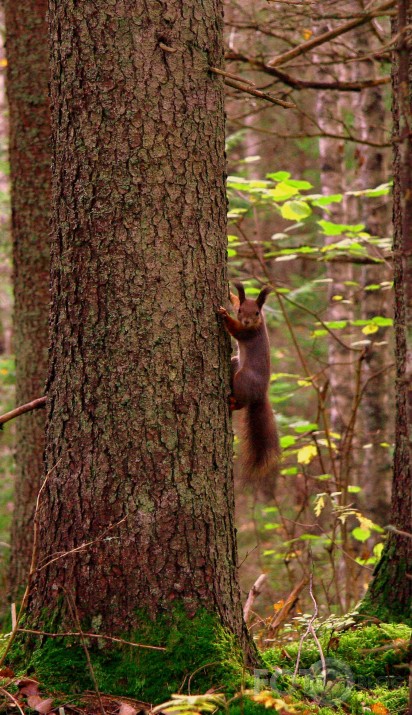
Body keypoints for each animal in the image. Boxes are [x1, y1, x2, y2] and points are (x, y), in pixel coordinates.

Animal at [219, 282, 280, 496]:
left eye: (256, 313)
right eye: (240, 310)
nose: (245, 321)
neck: (258, 324)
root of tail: (261, 394)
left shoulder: (248, 333)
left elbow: (236, 330)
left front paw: (224, 315)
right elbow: (236, 299)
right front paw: (230, 294)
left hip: (243, 378)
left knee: (242, 403)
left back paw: (232, 403)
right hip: (235, 363)